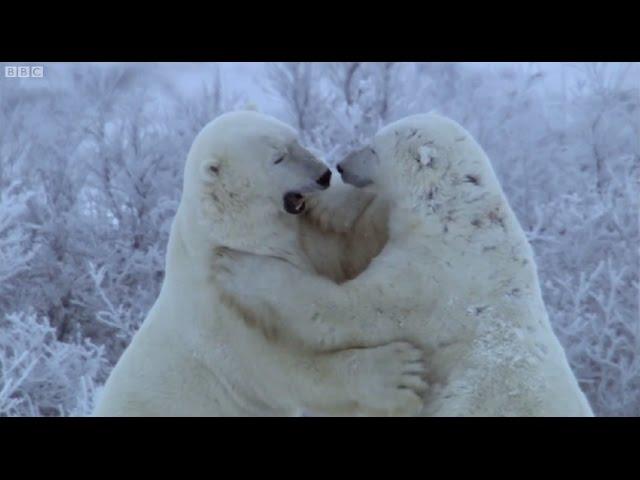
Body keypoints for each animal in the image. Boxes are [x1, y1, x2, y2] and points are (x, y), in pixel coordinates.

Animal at [92, 111, 428, 416]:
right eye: (278, 158)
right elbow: (283, 371)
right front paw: (398, 374)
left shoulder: (302, 237)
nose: (324, 174)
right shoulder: (220, 315)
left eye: (296, 140)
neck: (235, 238)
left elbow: (350, 250)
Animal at [215, 113, 596, 416]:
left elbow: (350, 310)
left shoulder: (433, 276)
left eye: (373, 148)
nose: (341, 166)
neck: (456, 217)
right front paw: (329, 205)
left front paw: (238, 267)